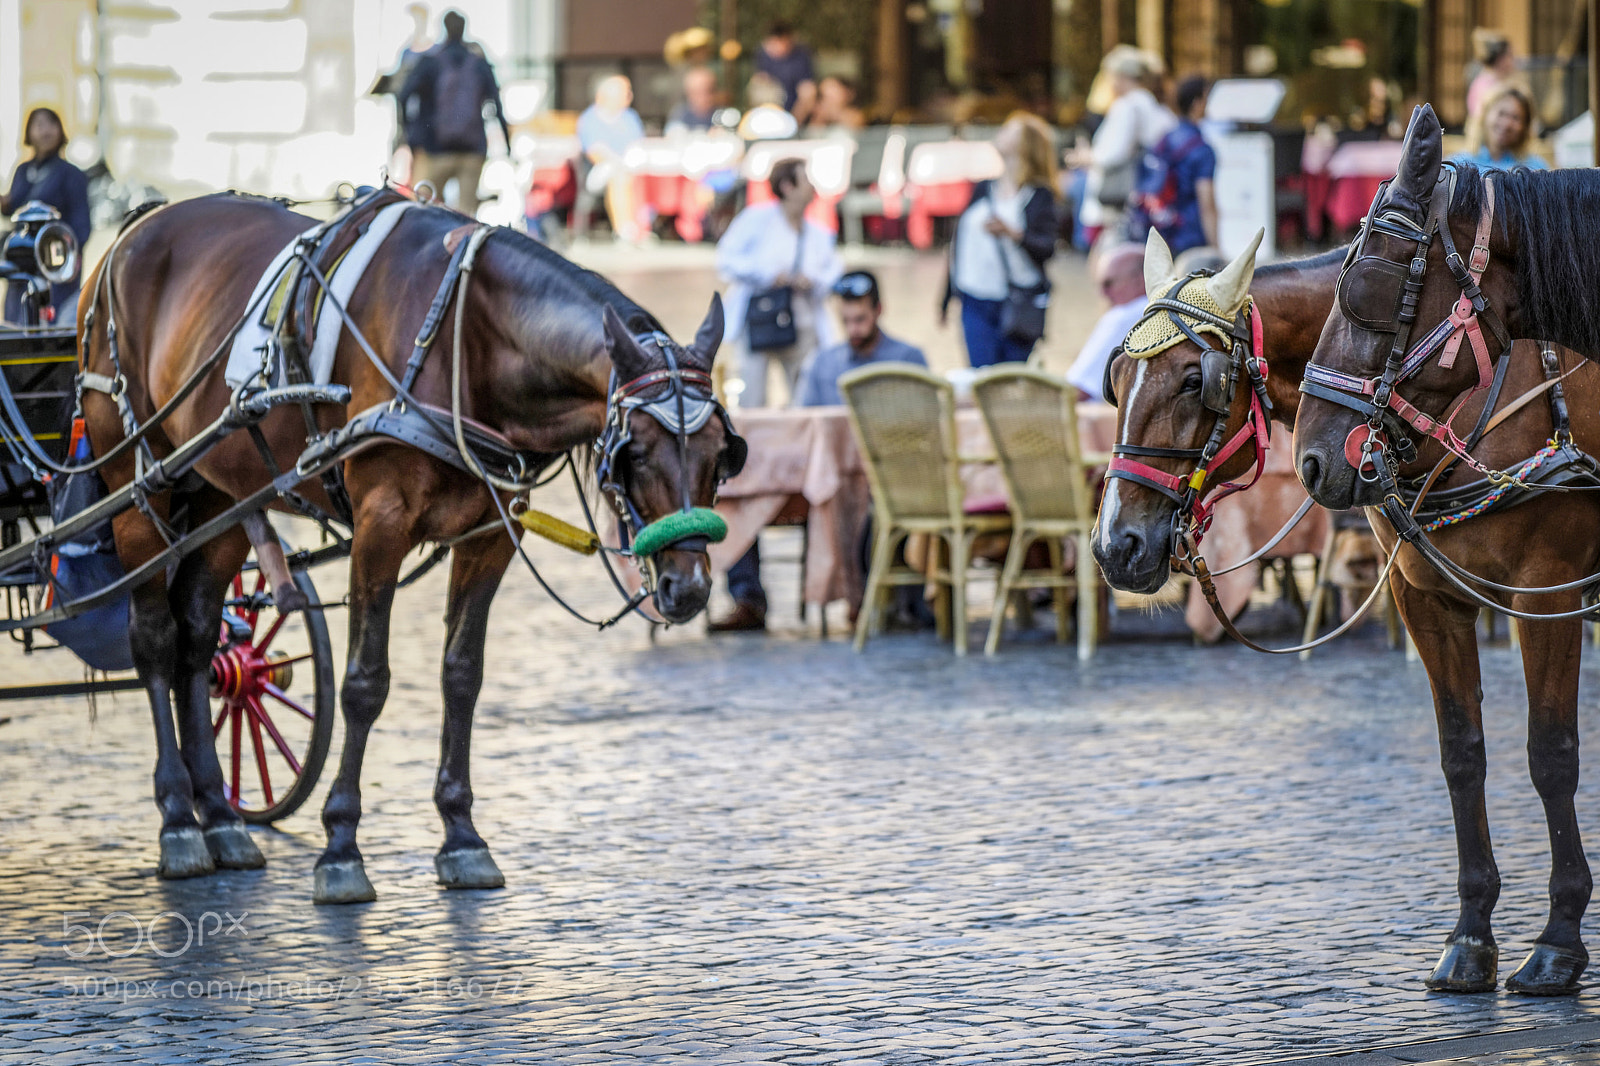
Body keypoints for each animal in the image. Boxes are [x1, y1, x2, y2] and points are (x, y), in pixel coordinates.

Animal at [76, 190, 738, 904]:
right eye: (634, 453)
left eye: (722, 456)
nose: (689, 588)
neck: (465, 342)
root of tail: (134, 230)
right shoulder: (381, 524)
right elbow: (366, 682)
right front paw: (340, 847)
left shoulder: (490, 533)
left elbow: (462, 676)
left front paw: (462, 835)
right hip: (136, 482)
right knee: (156, 639)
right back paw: (178, 820)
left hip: (222, 492)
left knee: (199, 640)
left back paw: (221, 817)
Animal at [1095, 228, 1600, 994]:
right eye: (1117, 379)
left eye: (1193, 381)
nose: (1116, 544)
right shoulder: (1427, 598)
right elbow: (1462, 755)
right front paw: (1470, 937)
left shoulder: (1550, 591)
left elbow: (1552, 756)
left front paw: (1559, 941)